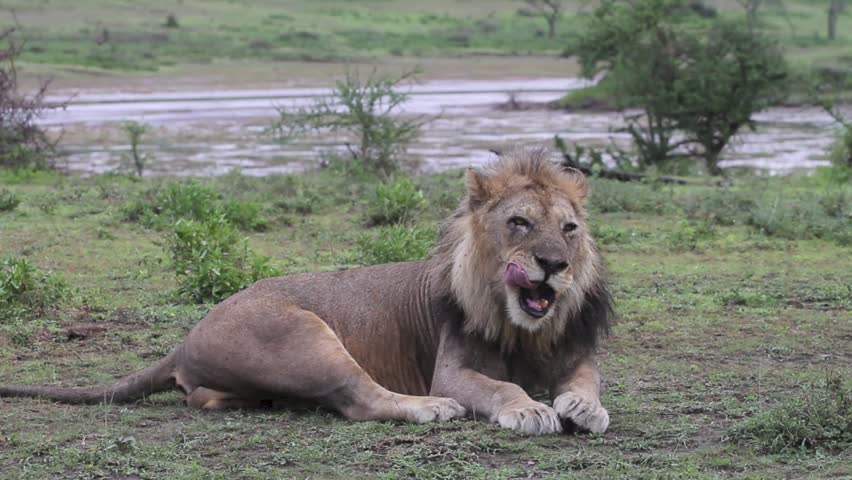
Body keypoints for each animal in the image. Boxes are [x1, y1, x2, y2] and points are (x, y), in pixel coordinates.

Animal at [0, 148, 612, 435]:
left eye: (569, 229)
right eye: (519, 223)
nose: (553, 265)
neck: (523, 329)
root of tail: (185, 338)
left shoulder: (573, 353)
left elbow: (588, 382)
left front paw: (583, 407)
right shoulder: (453, 368)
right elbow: (500, 387)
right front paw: (530, 408)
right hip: (303, 335)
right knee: (361, 400)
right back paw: (431, 410)